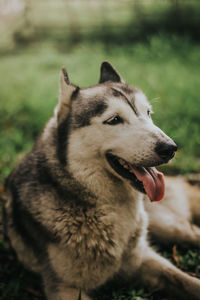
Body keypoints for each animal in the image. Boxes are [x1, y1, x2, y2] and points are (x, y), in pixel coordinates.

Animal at [3, 62, 200, 298]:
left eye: (148, 113)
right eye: (114, 120)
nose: (170, 148)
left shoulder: (143, 259)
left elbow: (187, 281)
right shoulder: (64, 288)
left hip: (169, 226)